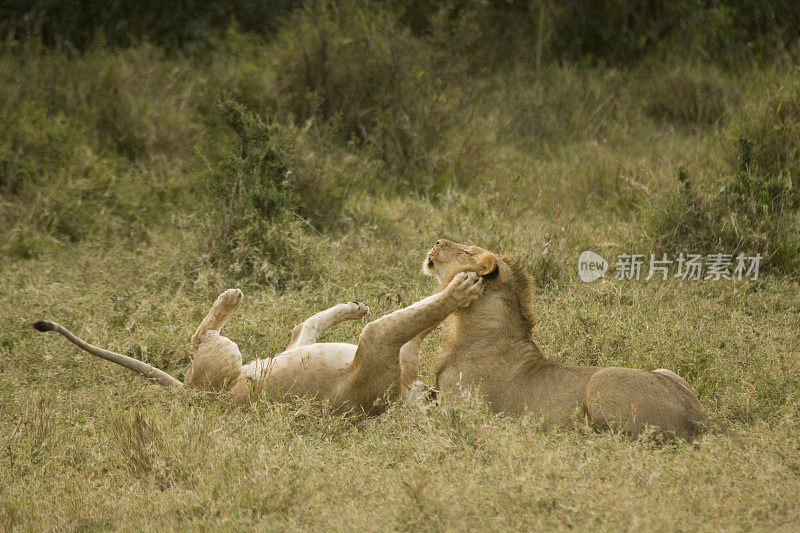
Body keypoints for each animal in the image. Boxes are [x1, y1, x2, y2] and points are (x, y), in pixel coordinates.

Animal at [34, 270, 484, 416]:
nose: (435, 396)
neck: (403, 396)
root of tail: (189, 395)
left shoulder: (380, 344)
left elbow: (418, 316)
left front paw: (462, 288)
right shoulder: (393, 347)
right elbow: (423, 316)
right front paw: (461, 284)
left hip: (225, 359)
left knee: (201, 337)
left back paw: (229, 300)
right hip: (277, 353)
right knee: (302, 327)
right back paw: (352, 306)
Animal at [422, 238, 708, 436]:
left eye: (467, 251)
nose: (436, 241)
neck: (470, 328)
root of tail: (699, 418)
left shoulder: (465, 411)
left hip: (602, 382)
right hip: (668, 372)